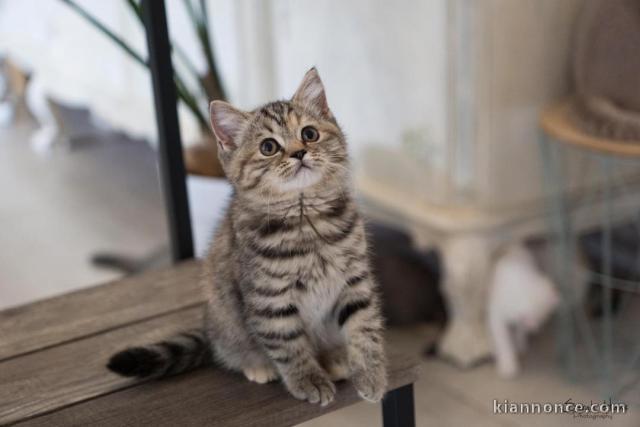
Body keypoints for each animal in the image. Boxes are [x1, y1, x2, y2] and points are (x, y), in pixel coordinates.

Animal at [108, 68, 388, 406]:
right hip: (227, 322)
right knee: (232, 351)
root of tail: (209, 327)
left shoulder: (354, 280)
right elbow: (289, 344)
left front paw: (371, 375)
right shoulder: (269, 299)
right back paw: (258, 365)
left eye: (309, 134)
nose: (299, 152)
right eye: (269, 147)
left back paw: (333, 359)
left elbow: (364, 328)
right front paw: (308, 380)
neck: (306, 220)